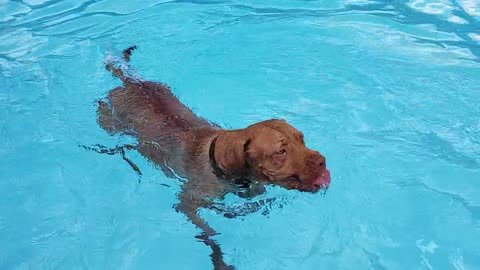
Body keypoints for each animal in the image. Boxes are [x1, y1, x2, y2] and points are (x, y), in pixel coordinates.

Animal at [96, 46, 332, 268]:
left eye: (302, 139)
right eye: (280, 151)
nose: (322, 161)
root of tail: (131, 82)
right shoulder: (187, 204)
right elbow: (209, 232)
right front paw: (218, 256)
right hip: (110, 122)